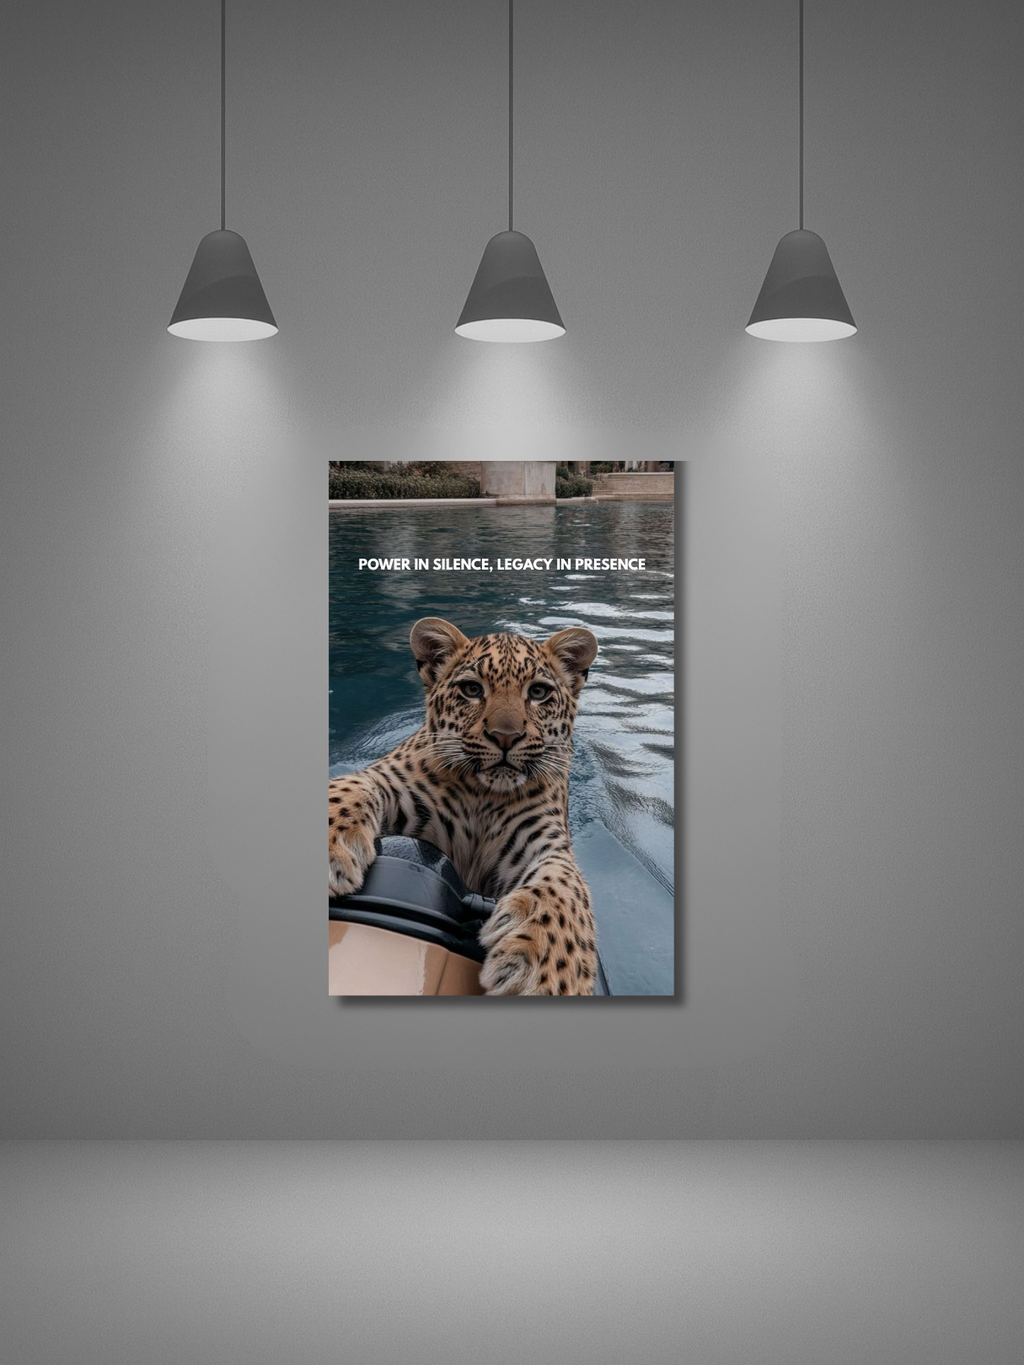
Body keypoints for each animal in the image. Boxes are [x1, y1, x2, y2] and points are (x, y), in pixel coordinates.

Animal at [328, 617, 600, 995]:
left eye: (538, 692)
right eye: (472, 689)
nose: (505, 737)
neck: (483, 796)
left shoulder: (545, 839)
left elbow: (566, 885)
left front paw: (547, 970)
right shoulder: (391, 782)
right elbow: (352, 785)